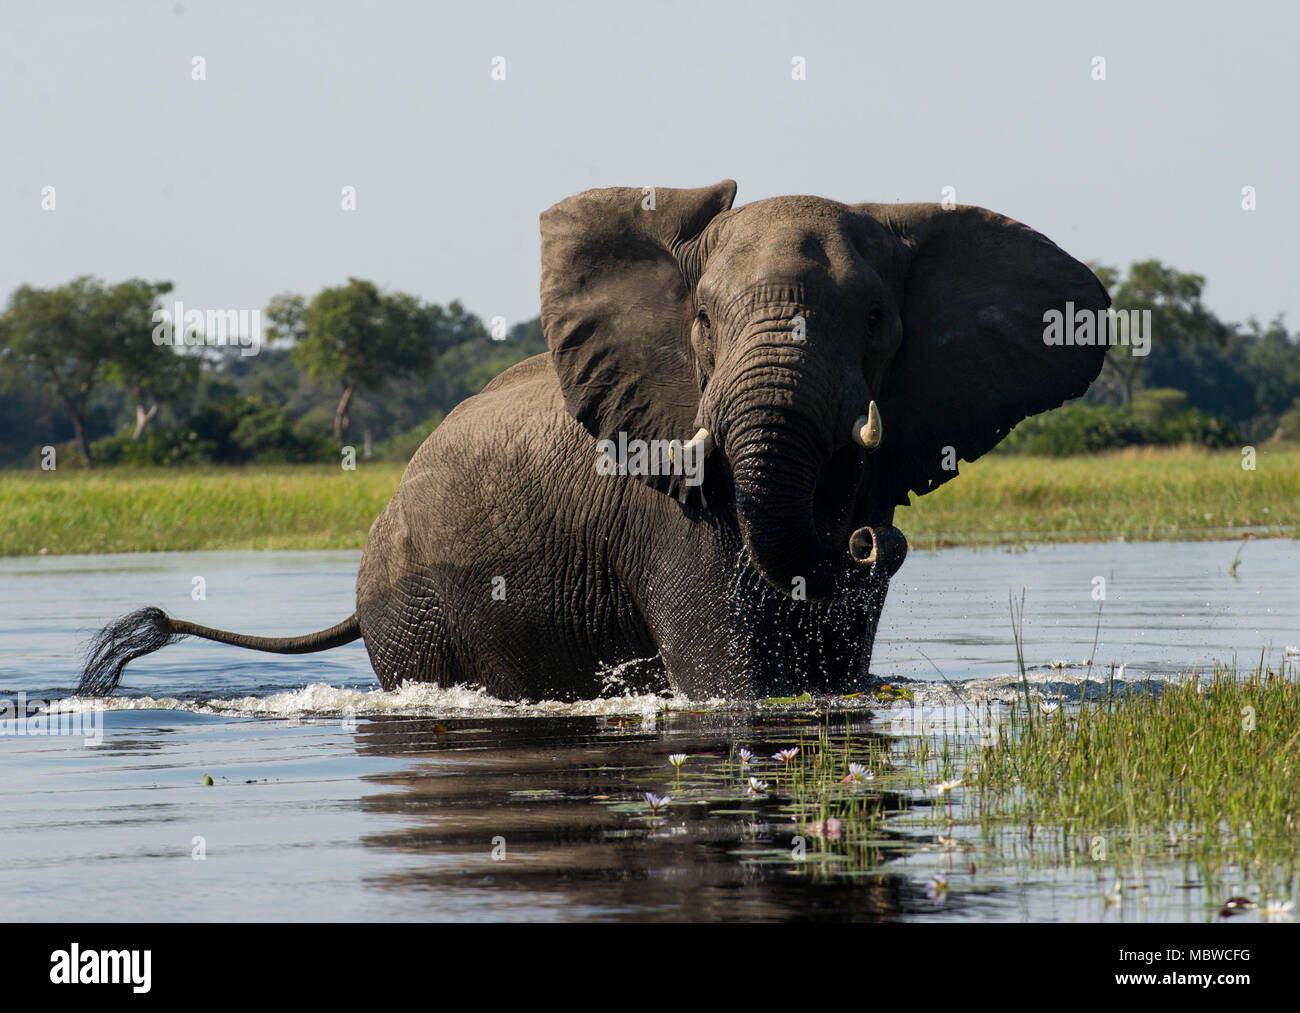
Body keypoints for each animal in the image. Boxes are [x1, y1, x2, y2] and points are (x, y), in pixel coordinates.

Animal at [81, 182, 1112, 702]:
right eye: (702, 320)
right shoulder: (671, 513)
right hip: (412, 613)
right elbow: (732, 687)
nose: (872, 540)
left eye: (875, 320)